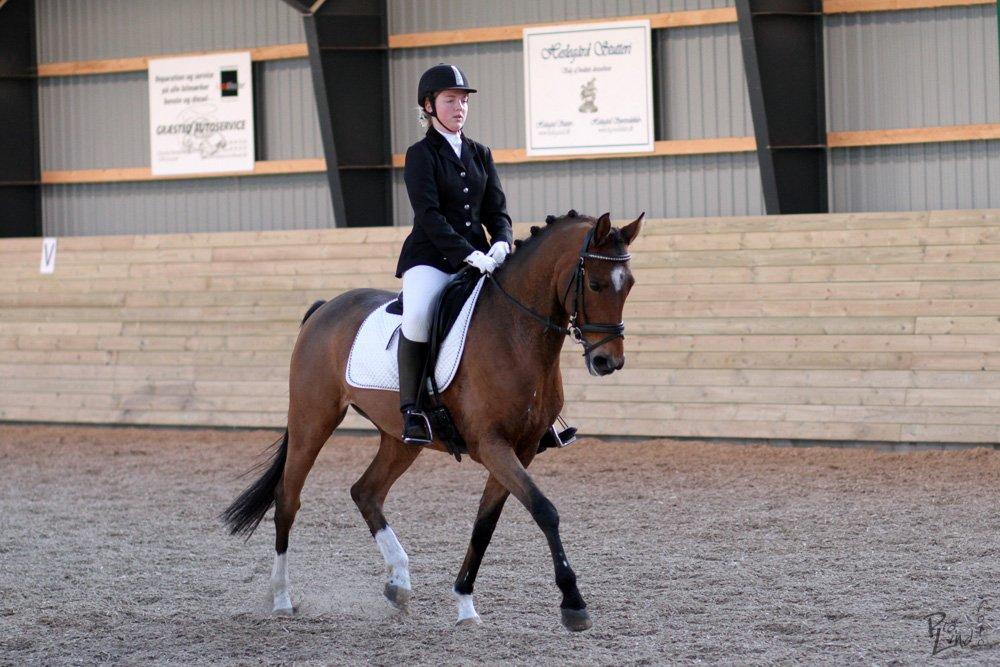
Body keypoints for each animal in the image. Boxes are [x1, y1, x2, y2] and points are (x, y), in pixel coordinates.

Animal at [221, 209, 644, 632]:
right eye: (595, 283)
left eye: (629, 285)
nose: (608, 361)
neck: (514, 333)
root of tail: (325, 308)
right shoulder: (491, 446)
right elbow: (545, 510)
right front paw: (573, 603)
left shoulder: (520, 450)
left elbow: (485, 525)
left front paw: (465, 604)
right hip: (313, 419)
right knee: (287, 499)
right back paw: (282, 599)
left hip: (400, 440)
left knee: (366, 491)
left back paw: (399, 583)